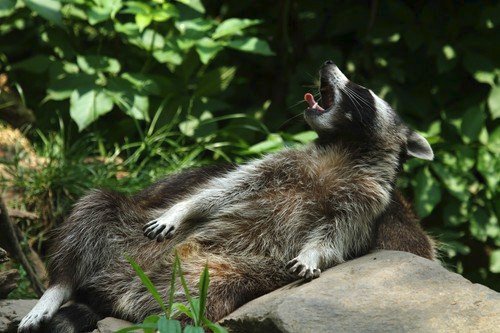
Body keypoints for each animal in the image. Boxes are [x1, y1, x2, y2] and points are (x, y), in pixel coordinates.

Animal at [18, 61, 434, 332]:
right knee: (92, 210)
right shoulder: (284, 161)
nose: (328, 63)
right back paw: (57, 287)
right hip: (123, 220)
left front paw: (313, 254)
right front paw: (182, 209)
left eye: (361, 90)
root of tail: (116, 289)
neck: (343, 149)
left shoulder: (367, 201)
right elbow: (225, 187)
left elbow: (337, 234)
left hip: (227, 273)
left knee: (198, 299)